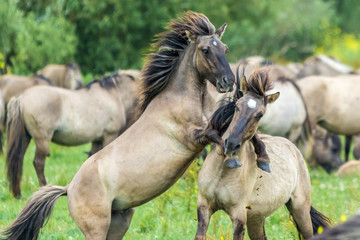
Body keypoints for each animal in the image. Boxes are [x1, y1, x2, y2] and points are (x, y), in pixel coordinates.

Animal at [7, 71, 139, 199]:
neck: (113, 96)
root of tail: (21, 98)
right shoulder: (109, 135)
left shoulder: (96, 140)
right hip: (42, 140)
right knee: (38, 163)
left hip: (25, 138)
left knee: (18, 159)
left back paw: (18, 194)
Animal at [195, 68, 330, 240]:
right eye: (237, 107)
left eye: (260, 114)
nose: (231, 144)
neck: (221, 173)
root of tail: (293, 149)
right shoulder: (204, 206)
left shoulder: (239, 215)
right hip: (256, 218)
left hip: (300, 209)